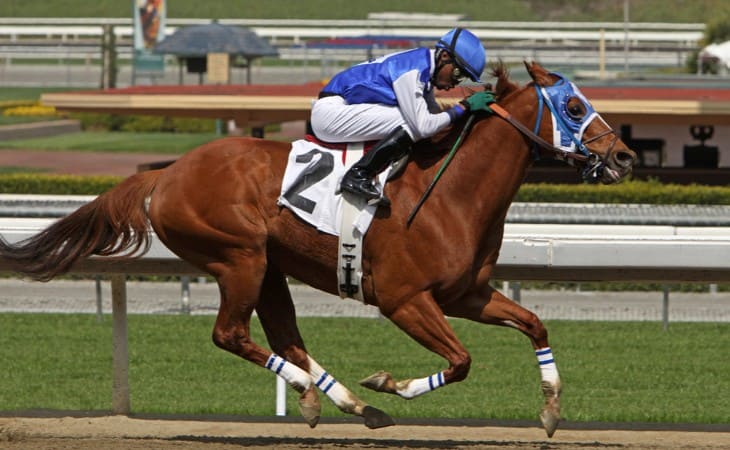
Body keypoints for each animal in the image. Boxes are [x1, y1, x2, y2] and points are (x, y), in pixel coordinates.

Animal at [0, 61, 632, 438]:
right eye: (575, 108)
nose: (623, 157)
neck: (451, 190)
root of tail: (167, 172)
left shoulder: (466, 294)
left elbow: (534, 324)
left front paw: (550, 409)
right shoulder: (404, 300)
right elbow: (461, 361)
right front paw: (389, 383)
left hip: (268, 266)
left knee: (285, 337)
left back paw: (347, 404)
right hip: (239, 257)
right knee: (231, 334)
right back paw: (323, 394)